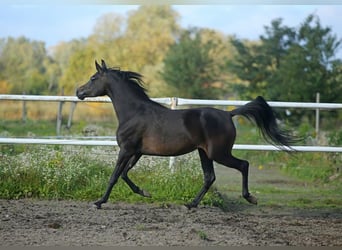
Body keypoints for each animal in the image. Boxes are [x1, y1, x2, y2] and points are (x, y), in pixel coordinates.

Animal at [76, 60, 298, 209]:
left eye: (93, 78)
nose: (78, 92)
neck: (134, 113)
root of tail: (229, 114)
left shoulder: (126, 149)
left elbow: (114, 176)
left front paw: (99, 202)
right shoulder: (137, 152)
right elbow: (124, 174)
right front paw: (145, 193)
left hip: (219, 153)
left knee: (243, 165)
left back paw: (250, 197)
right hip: (204, 153)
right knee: (209, 177)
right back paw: (191, 204)